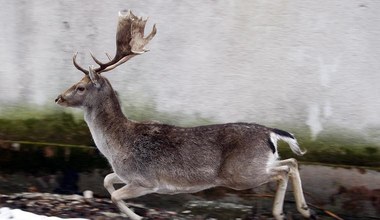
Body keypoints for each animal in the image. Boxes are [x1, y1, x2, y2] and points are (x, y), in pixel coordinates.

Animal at [56, 9, 312, 220]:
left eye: (81, 87)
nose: (58, 98)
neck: (117, 146)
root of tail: (271, 133)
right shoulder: (125, 175)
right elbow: (107, 180)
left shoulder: (146, 180)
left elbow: (115, 195)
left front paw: (137, 217)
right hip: (257, 165)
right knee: (291, 162)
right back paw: (297, 211)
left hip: (241, 174)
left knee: (284, 170)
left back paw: (292, 210)